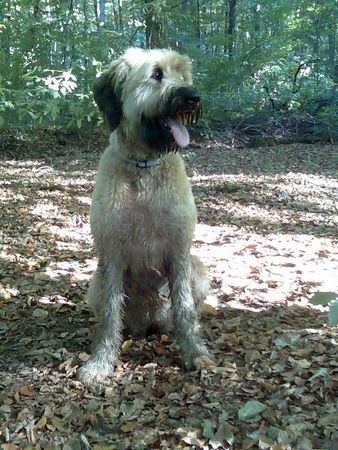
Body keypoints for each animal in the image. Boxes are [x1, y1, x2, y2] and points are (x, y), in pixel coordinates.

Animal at [77, 47, 214, 388]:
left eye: (183, 74)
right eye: (156, 74)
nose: (193, 97)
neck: (144, 168)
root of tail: (151, 321)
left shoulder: (179, 251)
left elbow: (185, 309)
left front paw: (195, 354)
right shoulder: (111, 253)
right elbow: (110, 315)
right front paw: (100, 362)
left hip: (198, 267)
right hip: (95, 283)